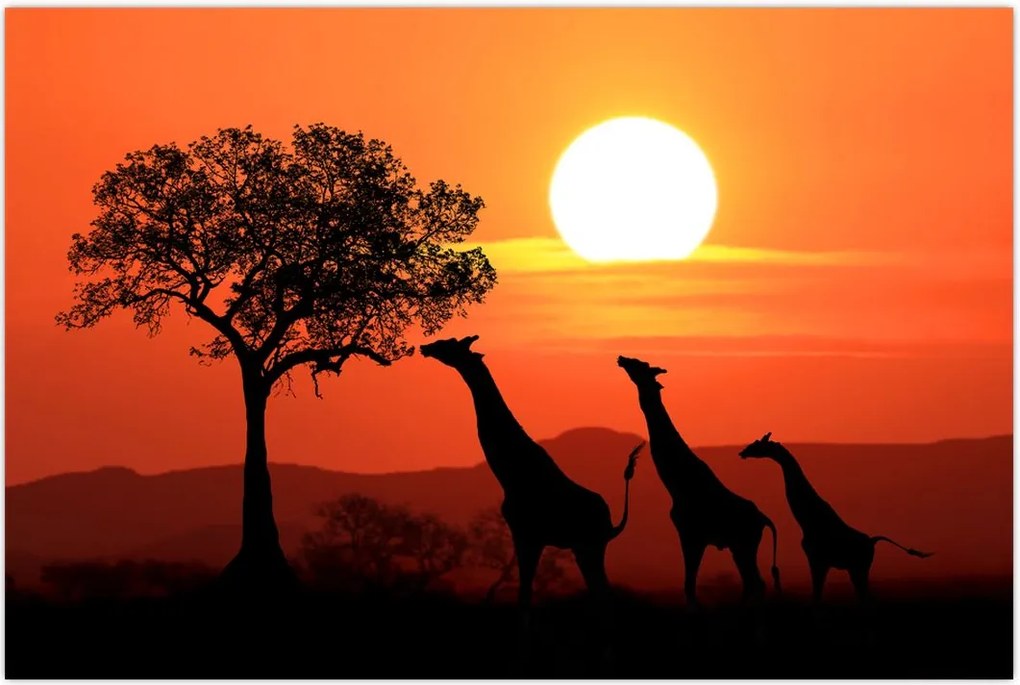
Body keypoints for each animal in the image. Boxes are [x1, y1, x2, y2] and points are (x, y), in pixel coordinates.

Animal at [420, 335, 643, 619]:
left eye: (449, 344)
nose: (426, 347)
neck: (512, 474)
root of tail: (611, 524)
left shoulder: (528, 534)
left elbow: (525, 595)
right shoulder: (527, 535)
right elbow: (525, 594)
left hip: (589, 546)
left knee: (605, 597)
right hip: (585, 547)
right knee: (602, 596)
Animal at [617, 355, 780, 606]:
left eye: (640, 365)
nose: (621, 358)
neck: (678, 485)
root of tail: (763, 518)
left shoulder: (691, 535)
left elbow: (689, 586)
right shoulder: (692, 536)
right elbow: (689, 586)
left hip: (744, 544)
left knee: (756, 583)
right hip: (738, 547)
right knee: (751, 583)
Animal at [739, 432, 933, 602]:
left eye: (758, 444)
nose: (743, 452)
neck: (807, 521)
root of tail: (872, 541)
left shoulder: (817, 560)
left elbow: (816, 597)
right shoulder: (821, 562)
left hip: (859, 568)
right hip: (857, 569)